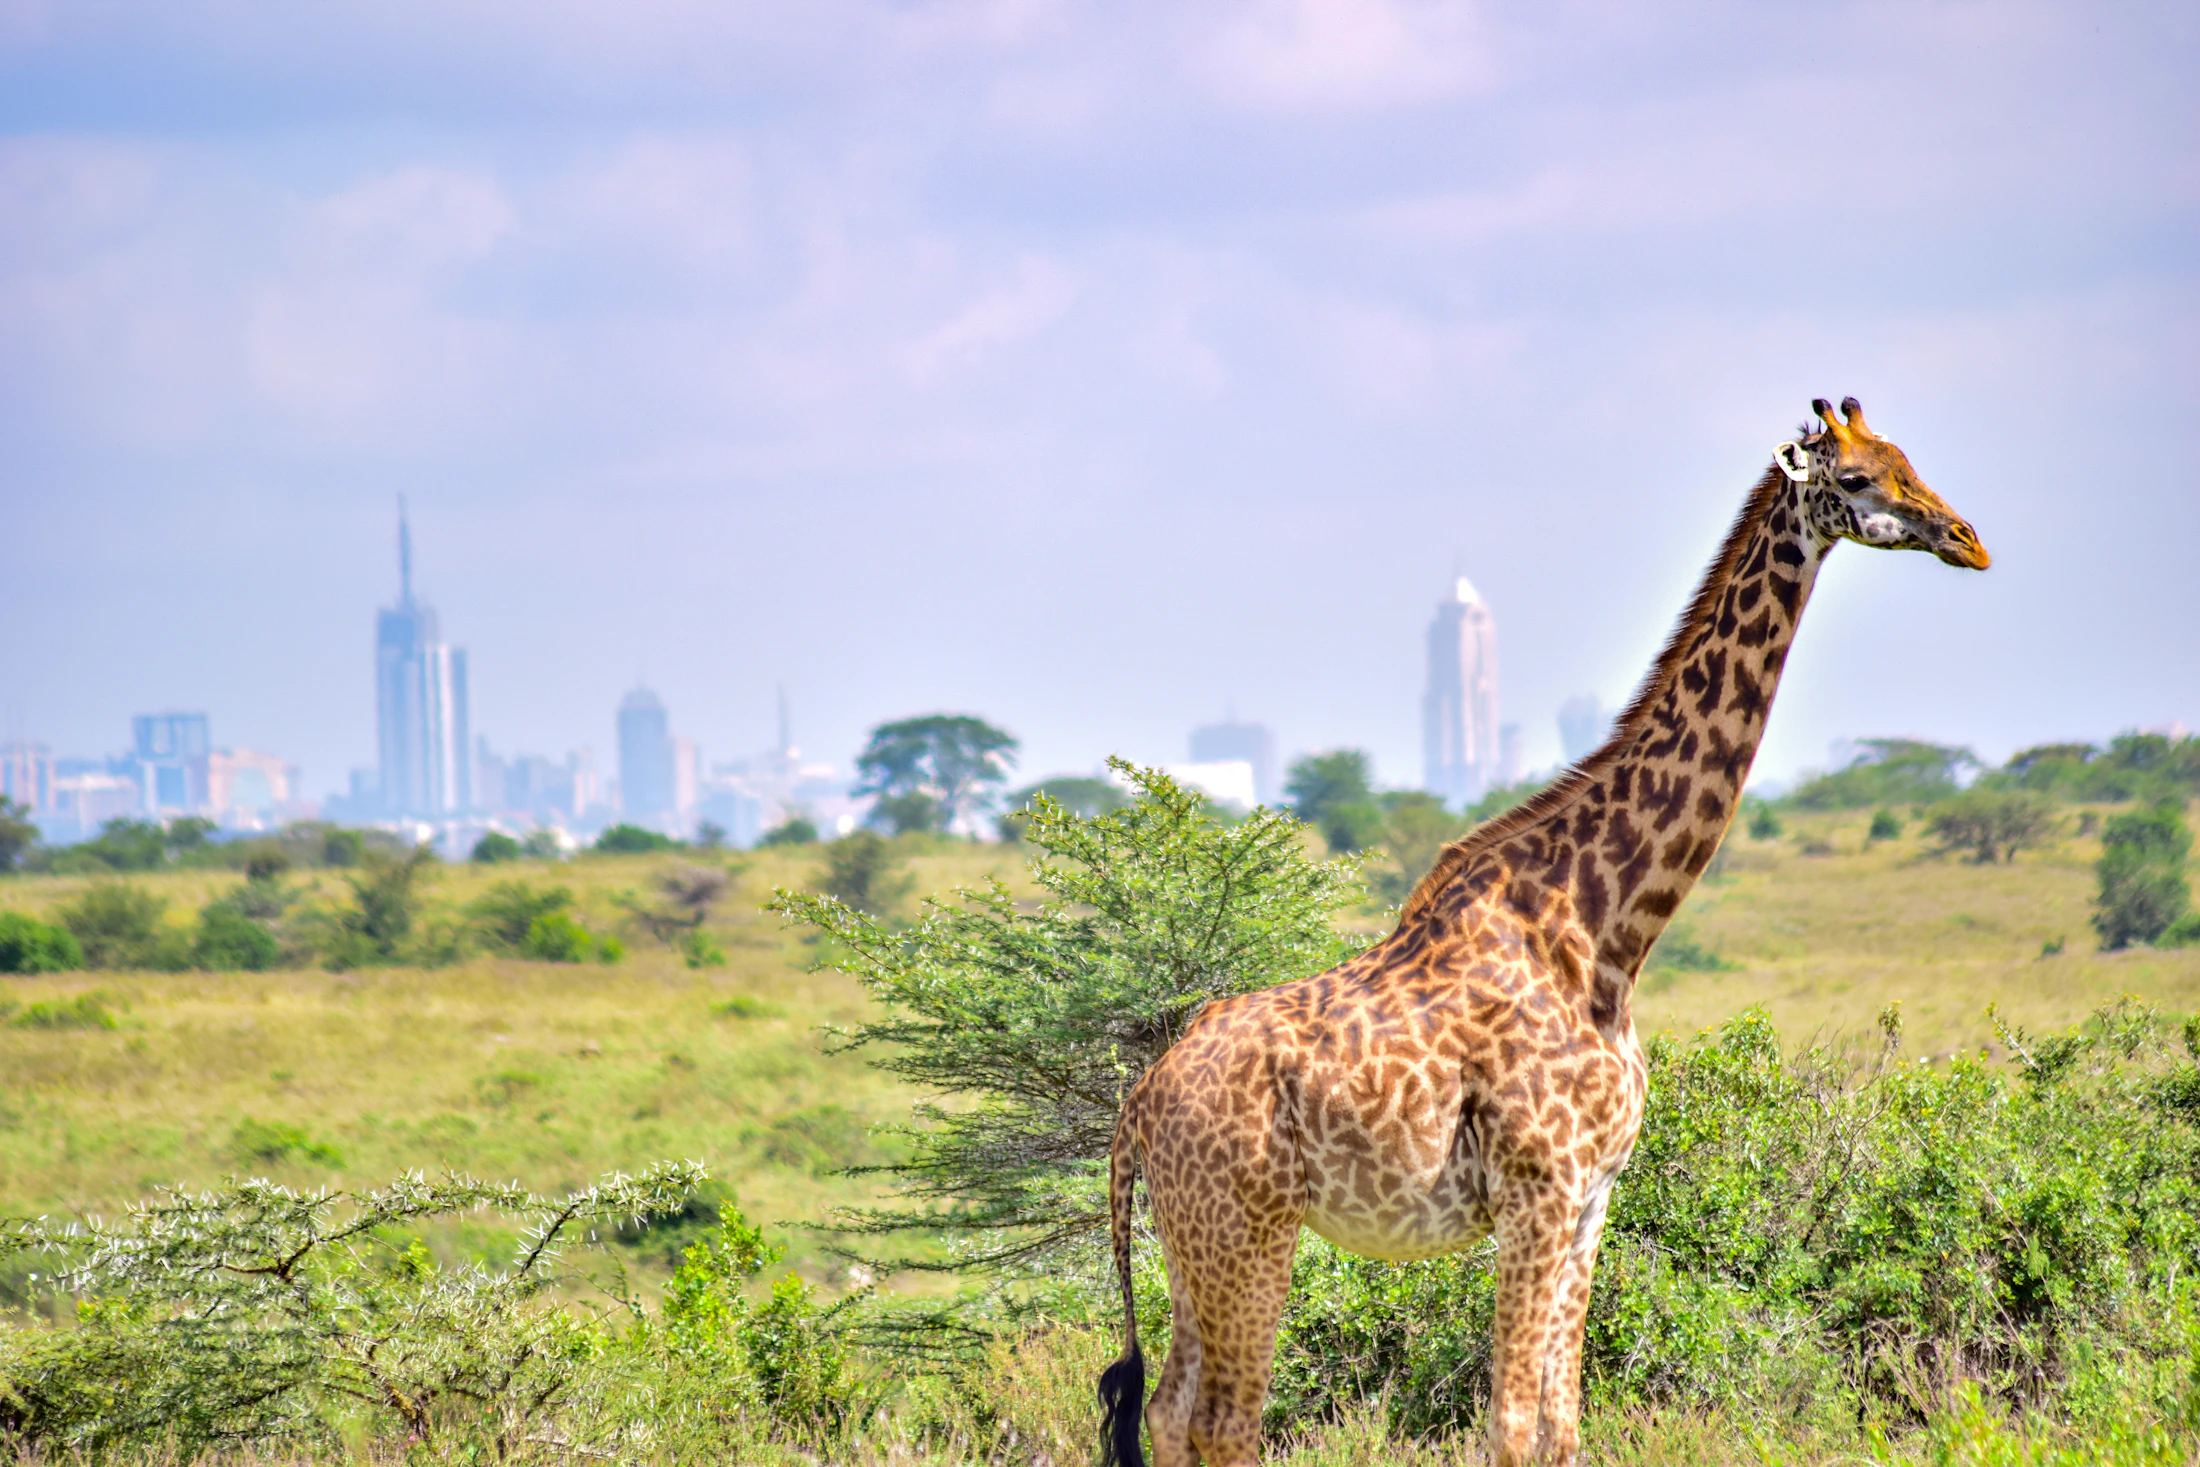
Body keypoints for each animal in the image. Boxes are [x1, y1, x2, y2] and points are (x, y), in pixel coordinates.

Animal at [1096, 399, 1989, 1467]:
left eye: (1907, 459)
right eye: (1855, 480)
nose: (1967, 539)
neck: (1607, 930)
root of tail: (1140, 1102)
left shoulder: (1592, 1195)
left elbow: (1563, 1423)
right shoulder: (1539, 1187)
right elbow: (1514, 1426)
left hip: (1193, 1241)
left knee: (1169, 1409)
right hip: (1250, 1226)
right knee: (1226, 1421)